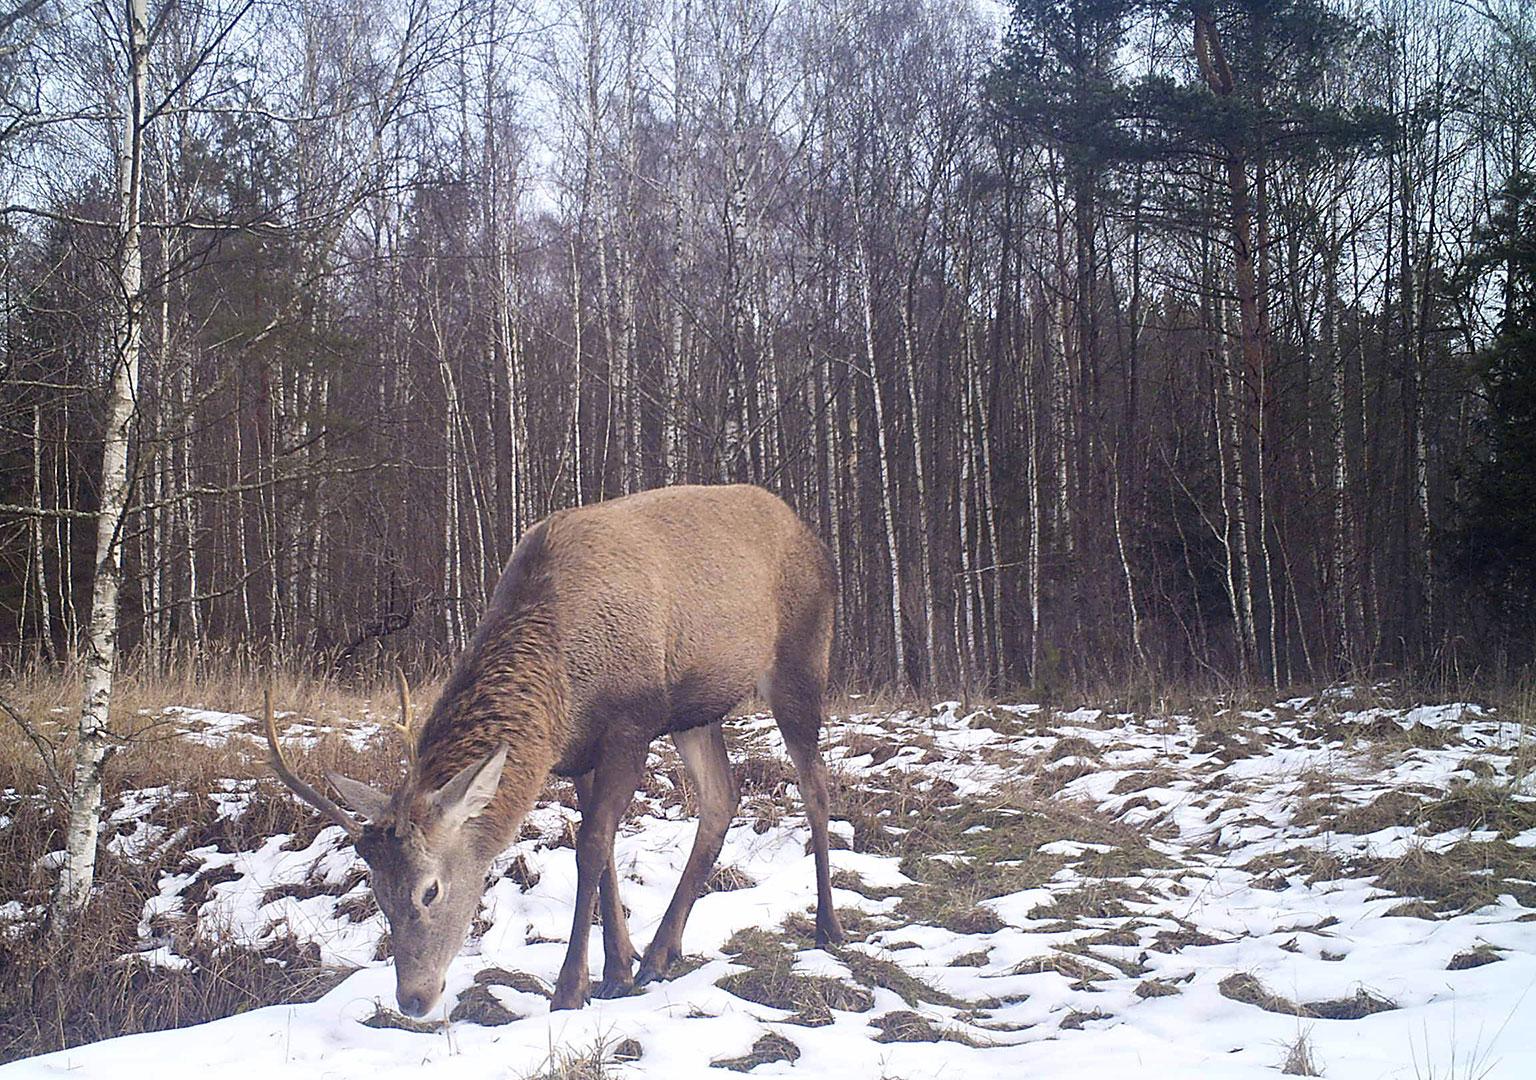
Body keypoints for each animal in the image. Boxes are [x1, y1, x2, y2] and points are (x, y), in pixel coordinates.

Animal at [264, 485, 841, 1020]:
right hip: (696, 711)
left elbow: (591, 847)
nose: (413, 999)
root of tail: (811, 535)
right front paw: (619, 967)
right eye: (378, 893)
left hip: (801, 660)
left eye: (431, 890)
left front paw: (571, 989)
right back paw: (661, 953)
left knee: (814, 786)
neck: (562, 685)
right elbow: (603, 851)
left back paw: (827, 928)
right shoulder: (581, 751)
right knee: (722, 799)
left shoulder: (630, 725)